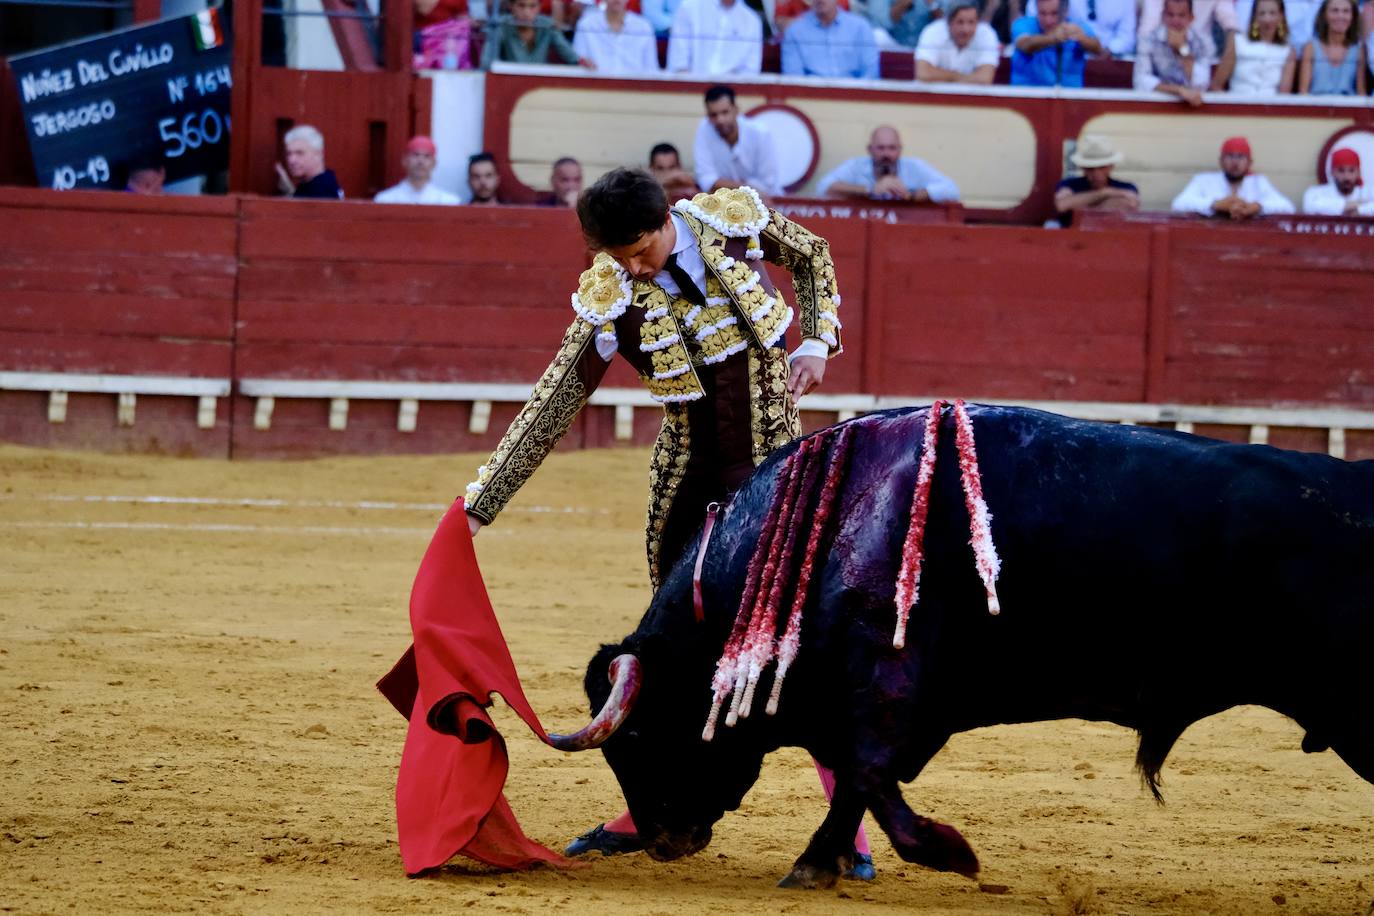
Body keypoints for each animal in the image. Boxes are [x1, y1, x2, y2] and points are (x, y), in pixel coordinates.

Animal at [555, 406, 1363, 889]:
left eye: (637, 740)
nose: (664, 841)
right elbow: (859, 780)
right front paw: (821, 865)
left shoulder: (886, 684)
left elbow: (869, 774)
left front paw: (946, 853)